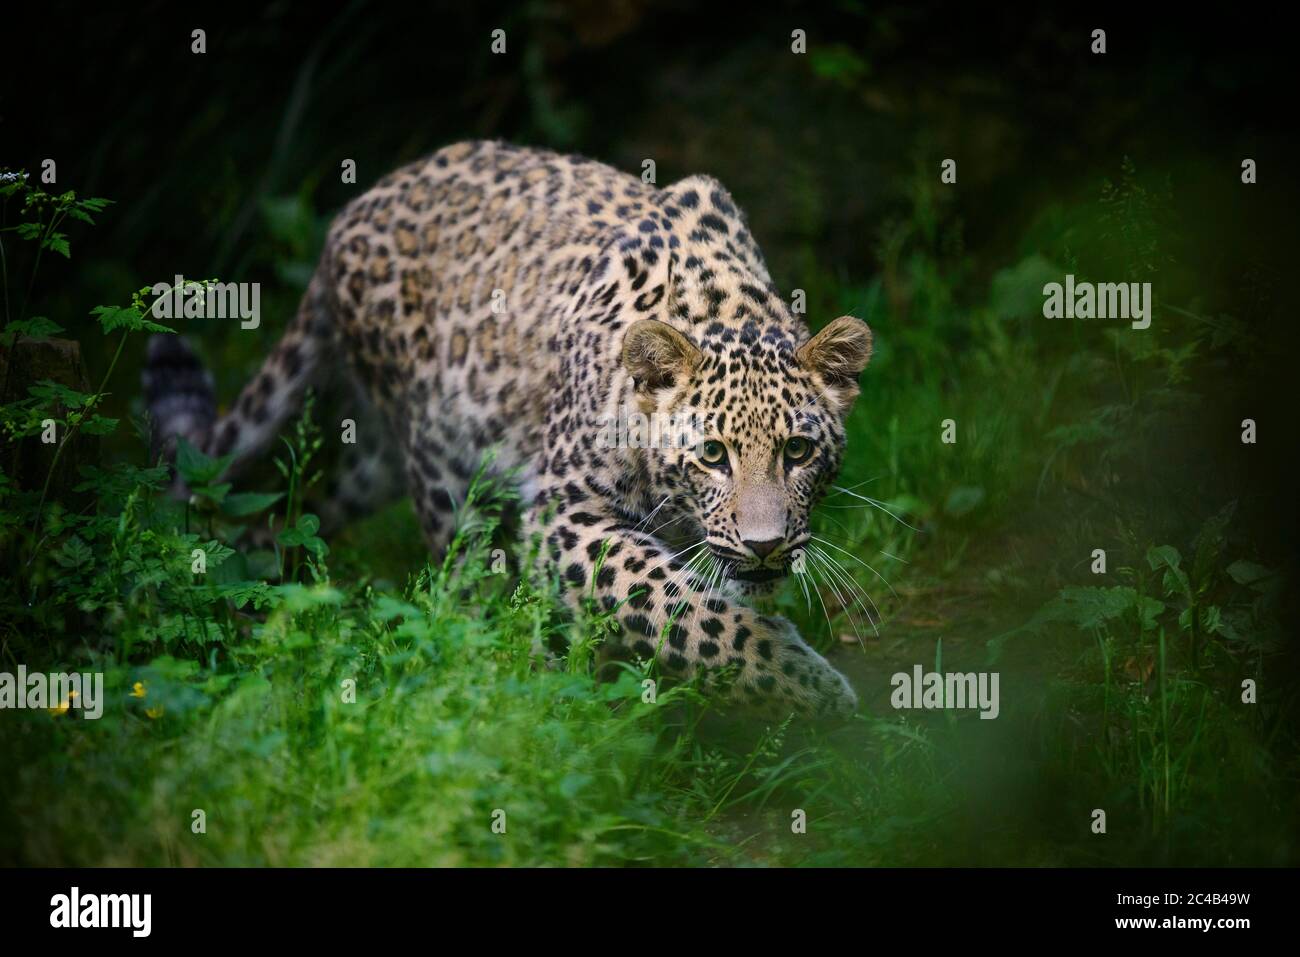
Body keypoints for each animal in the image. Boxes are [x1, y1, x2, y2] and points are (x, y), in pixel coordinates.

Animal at [142, 140, 873, 717]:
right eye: (714, 454)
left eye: (798, 450)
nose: (766, 546)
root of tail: (351, 213)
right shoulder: (564, 515)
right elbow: (682, 607)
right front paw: (809, 686)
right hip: (441, 465)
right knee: (460, 582)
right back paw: (501, 673)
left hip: (372, 466)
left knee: (286, 516)